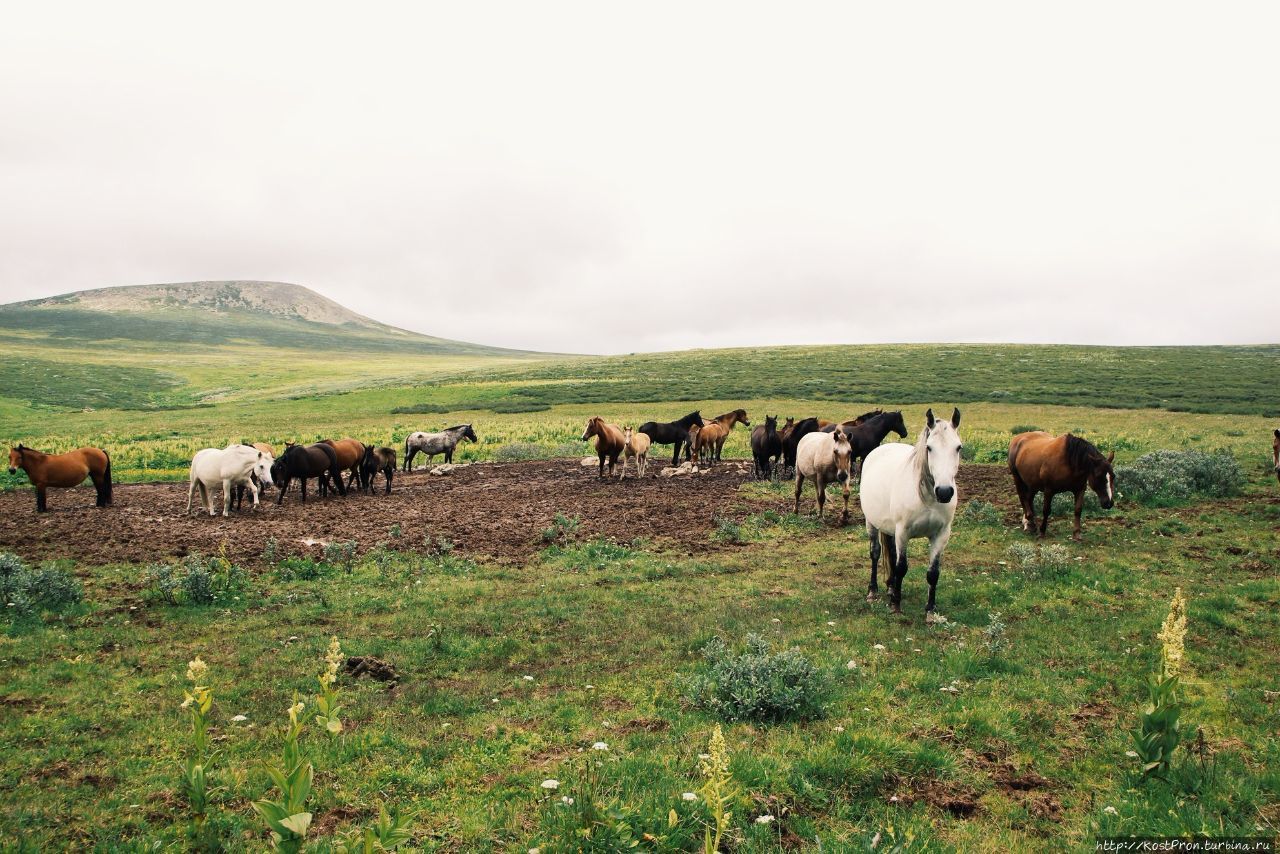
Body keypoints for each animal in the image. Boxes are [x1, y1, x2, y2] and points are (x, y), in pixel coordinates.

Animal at [860, 407, 962, 622]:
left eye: (958, 447)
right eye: (929, 448)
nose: (944, 492)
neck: (928, 497)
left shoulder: (941, 535)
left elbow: (933, 573)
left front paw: (930, 610)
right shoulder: (903, 532)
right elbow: (901, 567)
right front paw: (896, 606)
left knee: (889, 552)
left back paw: (891, 587)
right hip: (871, 522)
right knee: (875, 552)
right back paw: (873, 591)